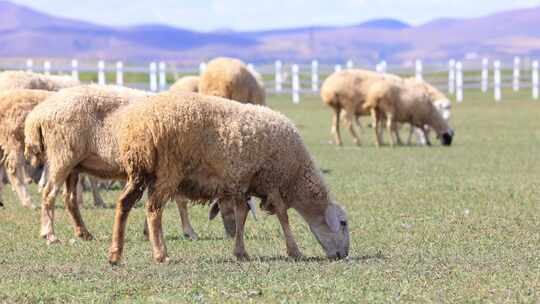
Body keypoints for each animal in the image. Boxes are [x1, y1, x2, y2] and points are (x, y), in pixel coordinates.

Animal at [108, 91, 350, 264]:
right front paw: (294, 250)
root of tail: (137, 127)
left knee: (123, 204)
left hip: (139, 173)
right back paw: (161, 254)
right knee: (153, 210)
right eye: (343, 223)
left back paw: (115, 254)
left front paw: (240, 252)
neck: (296, 177)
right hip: (168, 171)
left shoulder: (244, 184)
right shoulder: (272, 181)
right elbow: (283, 216)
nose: (344, 254)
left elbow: (242, 215)